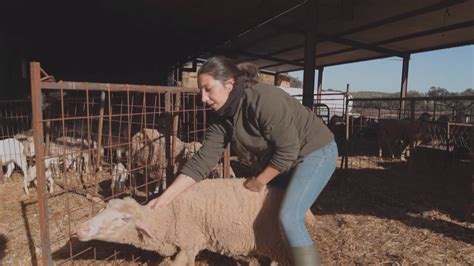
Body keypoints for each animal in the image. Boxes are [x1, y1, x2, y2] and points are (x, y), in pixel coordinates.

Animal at [76, 178, 316, 264]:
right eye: (106, 207)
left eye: (124, 218)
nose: (80, 230)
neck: (167, 216)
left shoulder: (190, 242)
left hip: (279, 242)